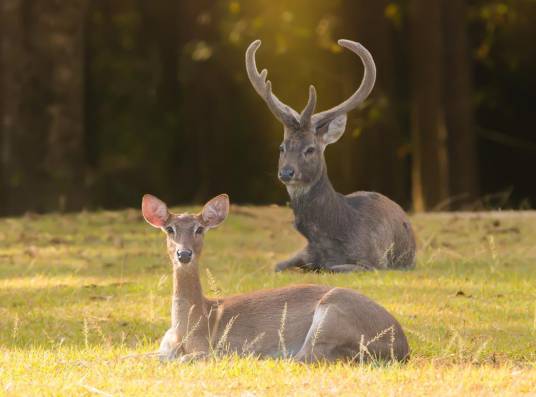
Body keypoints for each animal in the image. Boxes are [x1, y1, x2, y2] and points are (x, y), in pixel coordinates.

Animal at [140, 192, 408, 362]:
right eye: (169, 229)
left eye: (200, 229)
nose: (184, 254)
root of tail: (402, 347)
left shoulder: (211, 347)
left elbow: (183, 359)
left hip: (333, 316)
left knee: (306, 357)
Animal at [245, 39, 416, 272]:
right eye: (282, 147)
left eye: (310, 149)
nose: (286, 172)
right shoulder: (304, 252)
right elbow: (278, 265)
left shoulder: (373, 261)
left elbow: (331, 268)